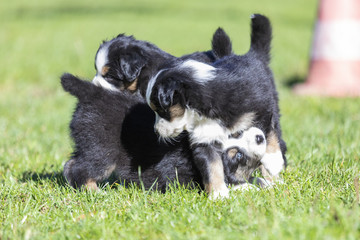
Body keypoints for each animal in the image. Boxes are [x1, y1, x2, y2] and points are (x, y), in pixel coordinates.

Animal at [61, 73, 268, 193]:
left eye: (233, 134)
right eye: (238, 155)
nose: (260, 137)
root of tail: (94, 93)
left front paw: (267, 183)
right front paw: (249, 188)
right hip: (103, 151)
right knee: (78, 168)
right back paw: (94, 191)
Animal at [146, 15, 286, 199]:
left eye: (161, 110)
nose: (155, 131)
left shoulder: (261, 110)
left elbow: (269, 136)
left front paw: (272, 161)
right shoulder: (203, 139)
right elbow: (212, 166)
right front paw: (218, 194)